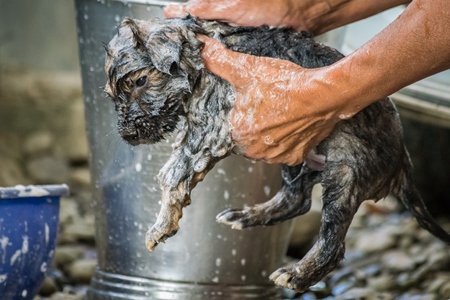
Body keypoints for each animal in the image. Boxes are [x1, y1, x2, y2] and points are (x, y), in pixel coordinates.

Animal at [103, 15, 450, 292]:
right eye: (110, 95)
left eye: (141, 81)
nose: (127, 135)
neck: (201, 54)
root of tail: (403, 162)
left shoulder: (211, 130)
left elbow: (171, 175)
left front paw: (160, 226)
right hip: (297, 154)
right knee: (298, 199)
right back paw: (247, 216)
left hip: (345, 172)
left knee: (333, 241)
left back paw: (298, 274)